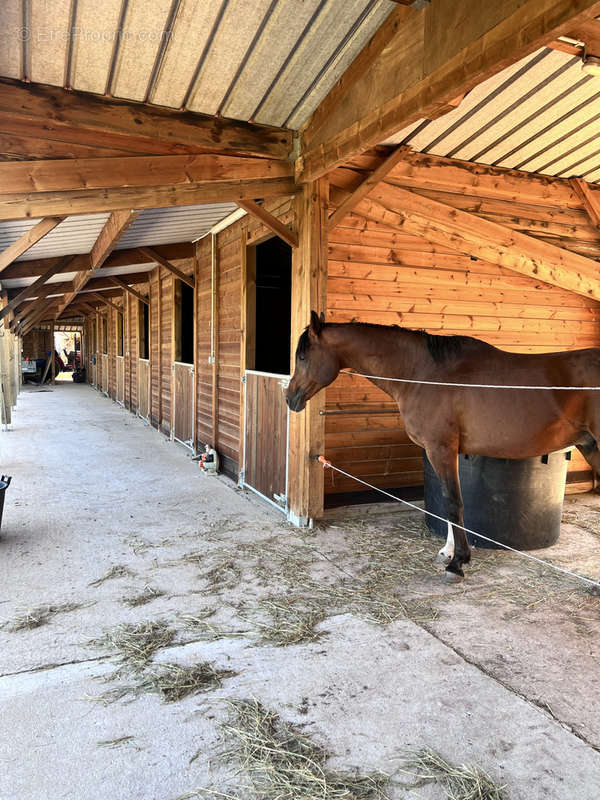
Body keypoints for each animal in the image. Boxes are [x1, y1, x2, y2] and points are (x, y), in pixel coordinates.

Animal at [284, 310, 600, 580]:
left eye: (303, 356)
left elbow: (452, 502)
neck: (422, 373)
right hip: (591, 447)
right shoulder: (445, 452)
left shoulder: (440, 449)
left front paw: (457, 562)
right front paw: (448, 552)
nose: (290, 397)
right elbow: (449, 502)